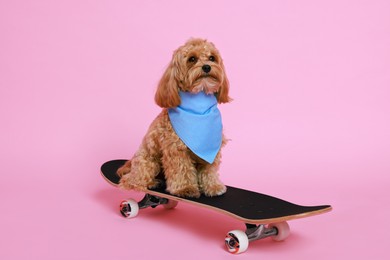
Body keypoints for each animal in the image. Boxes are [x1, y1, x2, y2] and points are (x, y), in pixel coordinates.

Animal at [117, 38, 230, 197]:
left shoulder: (212, 146)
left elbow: (209, 170)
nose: (207, 67)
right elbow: (181, 170)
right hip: (147, 160)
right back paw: (147, 183)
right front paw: (185, 188)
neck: (198, 106)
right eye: (192, 59)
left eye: (212, 58)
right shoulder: (175, 149)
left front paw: (213, 186)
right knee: (132, 179)